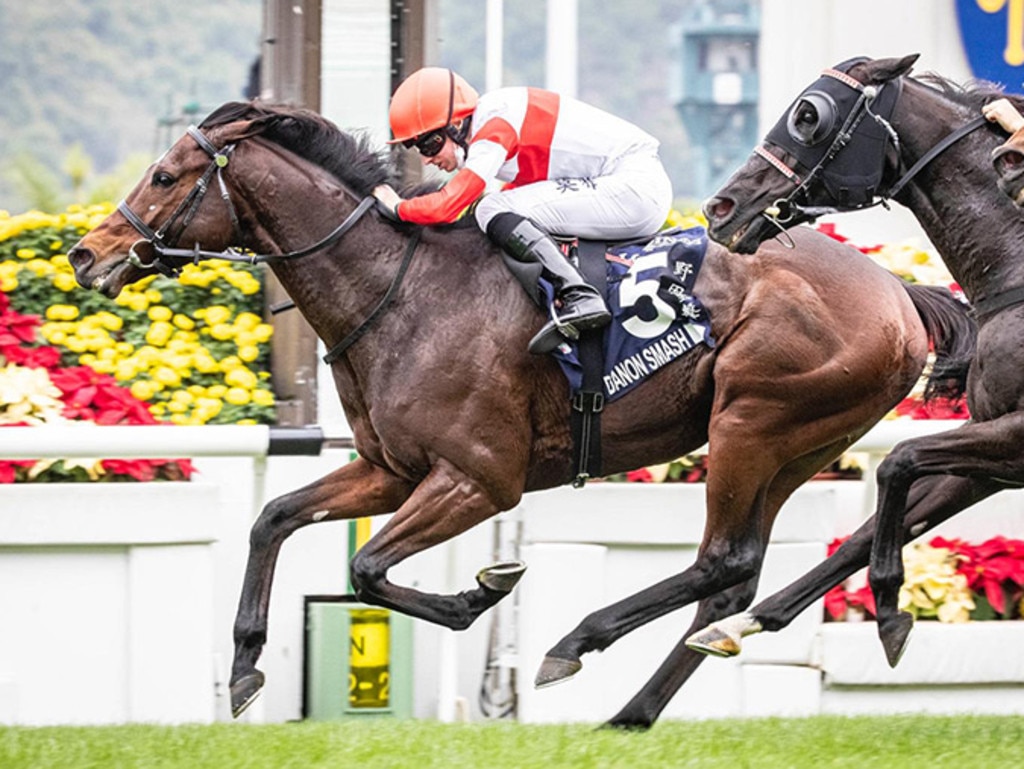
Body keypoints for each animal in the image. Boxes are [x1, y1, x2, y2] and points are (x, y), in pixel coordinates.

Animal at [64, 100, 966, 729]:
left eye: (166, 175)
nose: (84, 253)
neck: (399, 289)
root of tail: (898, 291)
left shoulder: (479, 479)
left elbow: (368, 569)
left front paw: (479, 593)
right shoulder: (391, 469)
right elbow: (274, 517)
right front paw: (247, 668)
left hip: (754, 422)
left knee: (722, 561)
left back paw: (576, 644)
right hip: (793, 446)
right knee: (730, 577)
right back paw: (631, 711)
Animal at [700, 52, 1019, 667]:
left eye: (808, 116)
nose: (720, 207)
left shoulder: (1015, 438)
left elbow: (898, 459)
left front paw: (891, 605)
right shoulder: (994, 458)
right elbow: (866, 531)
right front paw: (740, 623)